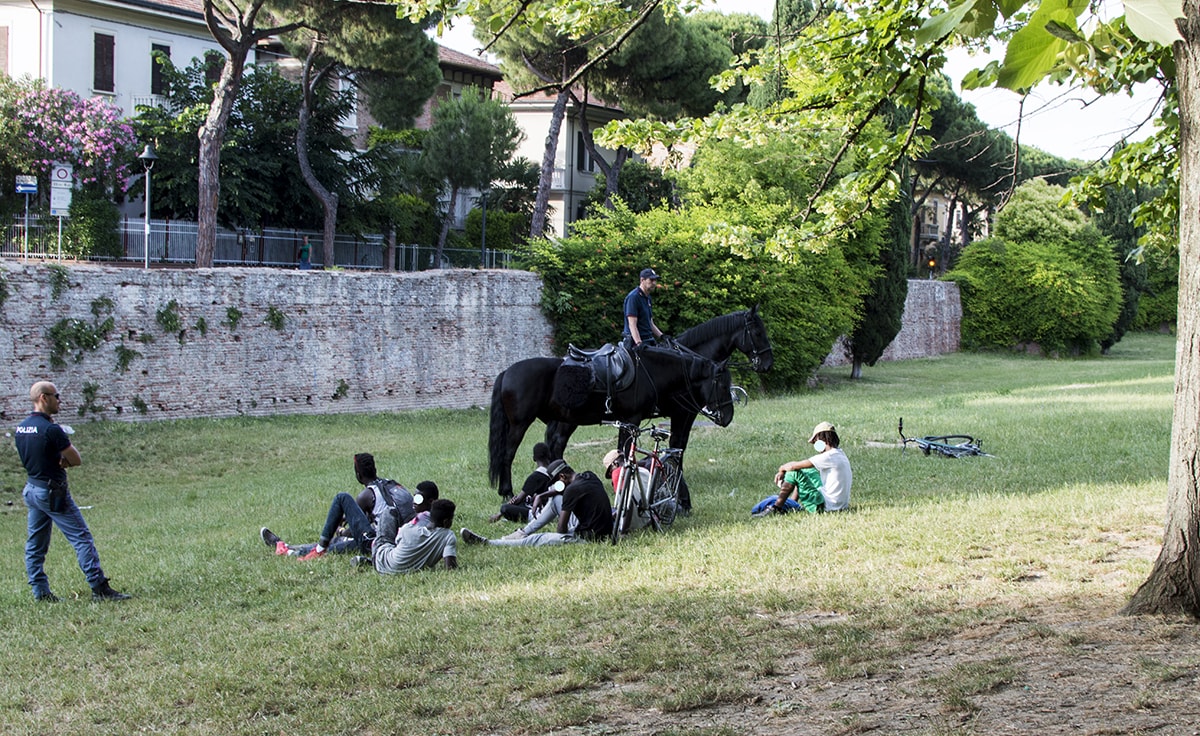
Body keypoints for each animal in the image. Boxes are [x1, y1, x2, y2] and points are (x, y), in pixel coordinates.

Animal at [484, 343, 729, 494]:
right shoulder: (636, 418)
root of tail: (506, 372)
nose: (727, 417)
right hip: (520, 424)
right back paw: (506, 491)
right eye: (722, 384)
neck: (648, 370)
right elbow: (628, 450)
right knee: (508, 454)